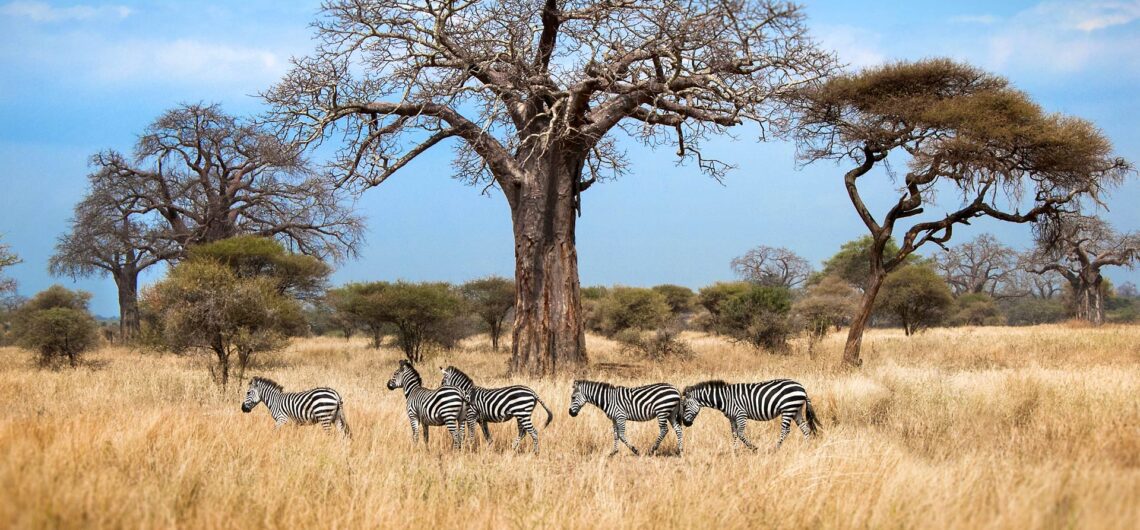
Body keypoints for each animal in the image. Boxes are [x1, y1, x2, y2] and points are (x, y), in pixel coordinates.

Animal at [674, 378, 820, 449]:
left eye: (685, 406)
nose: (685, 424)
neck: (725, 399)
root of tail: (802, 388)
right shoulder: (732, 418)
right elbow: (734, 433)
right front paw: (734, 451)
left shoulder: (741, 415)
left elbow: (740, 433)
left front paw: (753, 448)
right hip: (796, 410)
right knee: (805, 428)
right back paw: (807, 447)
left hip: (788, 409)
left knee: (785, 430)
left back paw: (776, 448)